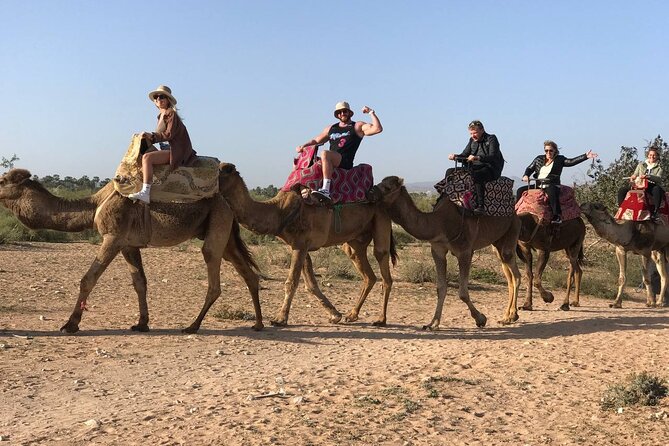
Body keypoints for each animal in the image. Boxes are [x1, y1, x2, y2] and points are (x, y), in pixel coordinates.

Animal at [0, 168, 263, 333]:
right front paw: (142, 323)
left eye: (3, 181)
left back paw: (193, 326)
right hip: (225, 234)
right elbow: (140, 283)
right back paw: (258, 324)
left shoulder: (113, 238)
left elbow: (88, 279)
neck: (95, 205)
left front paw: (70, 325)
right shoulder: (128, 244)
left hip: (217, 224)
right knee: (248, 273)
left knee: (214, 276)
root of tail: (228, 205)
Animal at [217, 163, 396, 327]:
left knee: (382, 261)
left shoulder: (301, 244)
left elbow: (291, 282)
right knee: (367, 274)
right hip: (355, 241)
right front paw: (335, 315)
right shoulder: (299, 246)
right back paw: (352, 315)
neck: (279, 211)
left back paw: (381, 319)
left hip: (381, 219)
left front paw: (280, 319)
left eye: (220, 170)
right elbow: (311, 284)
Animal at [372, 176, 522, 329]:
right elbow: (441, 288)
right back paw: (507, 316)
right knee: (508, 272)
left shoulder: (465, 251)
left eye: (388, 187)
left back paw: (511, 316)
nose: (370, 191)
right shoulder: (437, 250)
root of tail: (514, 210)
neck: (439, 223)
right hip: (497, 242)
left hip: (513, 228)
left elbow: (462, 293)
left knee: (514, 272)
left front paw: (481, 319)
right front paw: (433, 323)